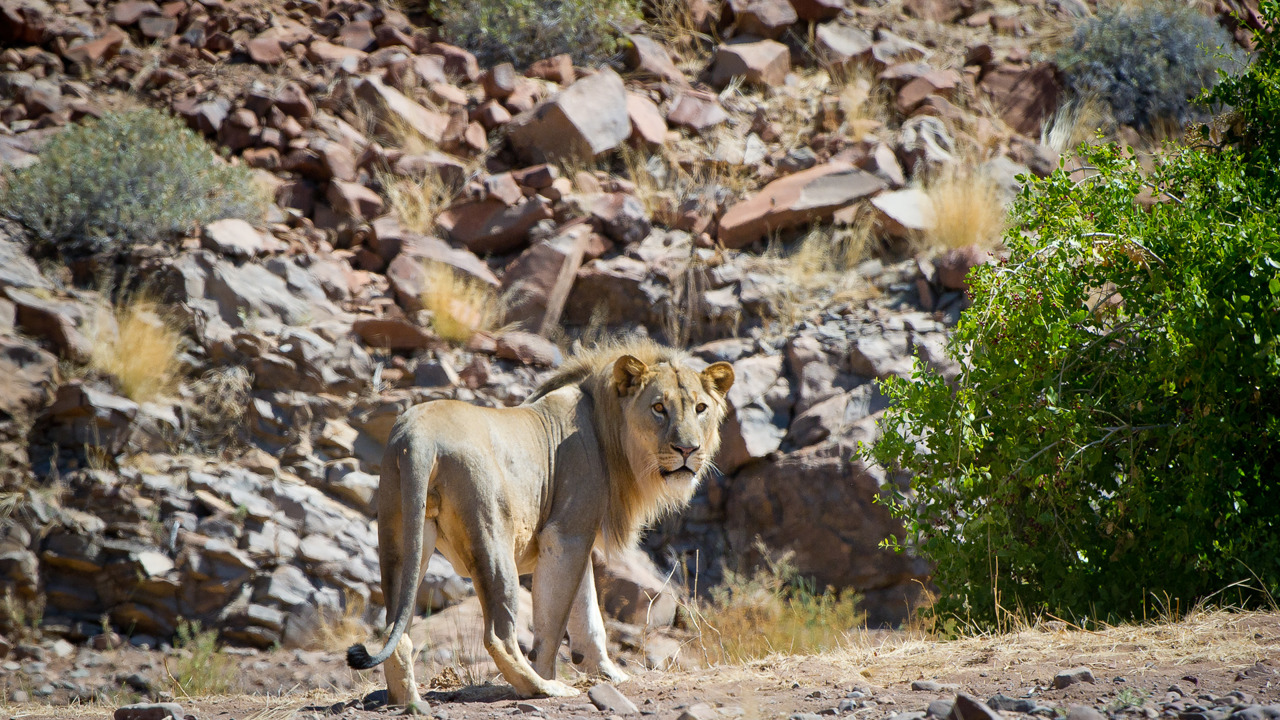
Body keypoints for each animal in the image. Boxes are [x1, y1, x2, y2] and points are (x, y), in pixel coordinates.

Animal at [346, 339, 735, 712]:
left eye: (701, 408)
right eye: (658, 408)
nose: (688, 450)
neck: (607, 425)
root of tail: (418, 437)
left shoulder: (577, 539)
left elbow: (587, 615)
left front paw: (610, 674)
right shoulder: (566, 533)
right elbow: (554, 621)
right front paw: (553, 674)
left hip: (401, 536)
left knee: (396, 629)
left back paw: (409, 702)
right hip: (493, 538)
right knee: (498, 636)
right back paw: (544, 688)